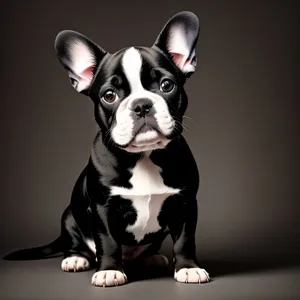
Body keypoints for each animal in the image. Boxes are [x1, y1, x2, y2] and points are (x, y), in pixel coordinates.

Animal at [2, 11, 211, 286]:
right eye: (109, 95)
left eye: (167, 85)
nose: (142, 104)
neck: (143, 156)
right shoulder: (102, 208)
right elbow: (108, 241)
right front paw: (110, 270)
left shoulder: (186, 203)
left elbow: (185, 239)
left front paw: (188, 267)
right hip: (69, 216)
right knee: (76, 243)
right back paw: (76, 258)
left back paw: (151, 258)